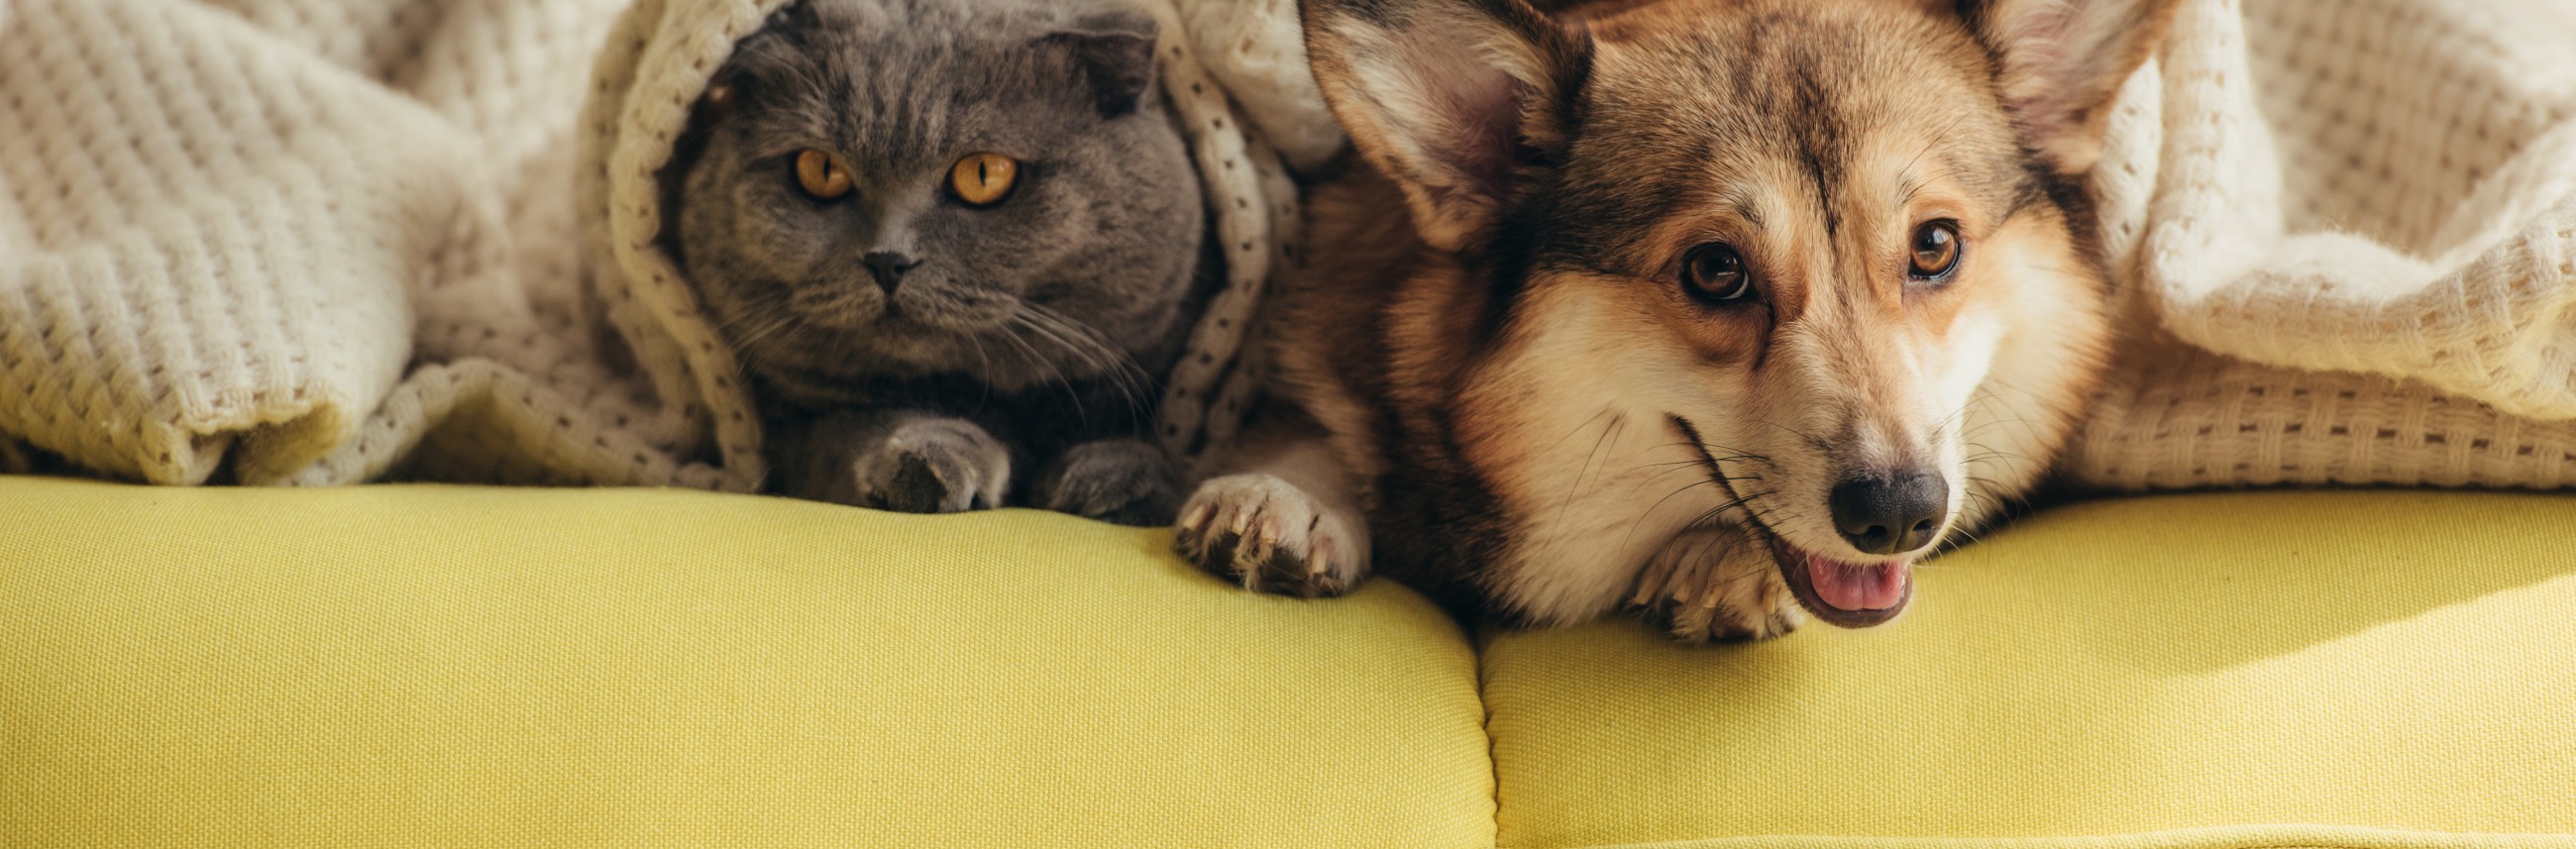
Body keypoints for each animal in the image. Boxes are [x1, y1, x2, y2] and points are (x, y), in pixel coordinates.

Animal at [664, 0, 1205, 524]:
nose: (888, 259)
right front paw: (930, 457)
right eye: (820, 170)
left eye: (984, 174)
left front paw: (1120, 476)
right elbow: (845, 427)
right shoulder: (785, 431)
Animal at [1179, 0, 2174, 640]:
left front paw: (1724, 561)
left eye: (1934, 245)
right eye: (1714, 270)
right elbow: (1312, 424)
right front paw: (1283, 492)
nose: (1899, 515)